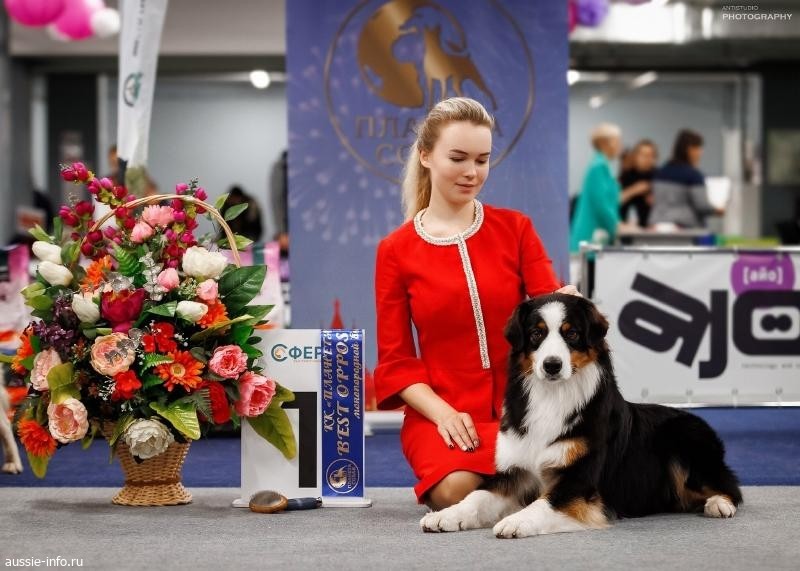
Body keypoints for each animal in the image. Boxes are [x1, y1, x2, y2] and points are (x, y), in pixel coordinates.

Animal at [421, 293, 742, 538]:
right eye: (536, 334)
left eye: (571, 333)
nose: (552, 365)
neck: (553, 396)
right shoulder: (514, 472)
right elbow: (476, 497)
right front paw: (445, 515)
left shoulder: (580, 480)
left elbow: (546, 501)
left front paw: (516, 521)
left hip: (687, 442)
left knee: (731, 488)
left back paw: (719, 504)